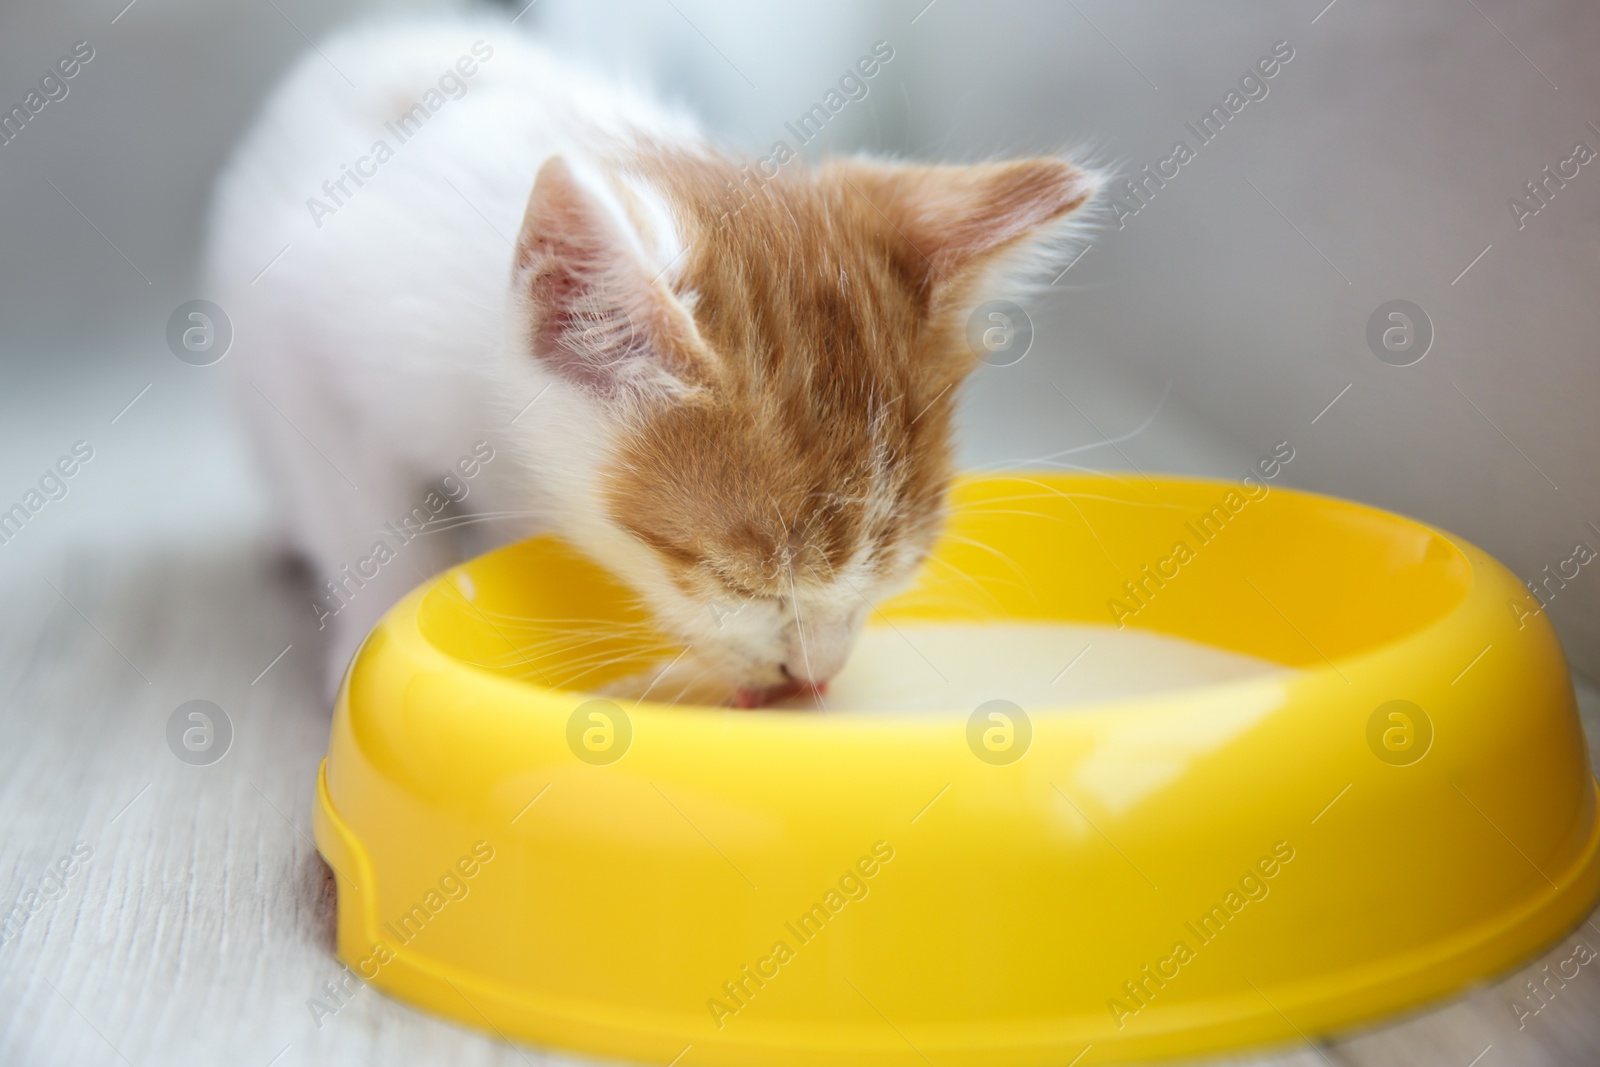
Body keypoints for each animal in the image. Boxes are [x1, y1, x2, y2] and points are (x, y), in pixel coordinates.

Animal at [209, 20, 1100, 703]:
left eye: (896, 574)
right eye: (738, 582)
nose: (814, 674)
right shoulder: (298, 326)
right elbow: (357, 509)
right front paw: (375, 631)